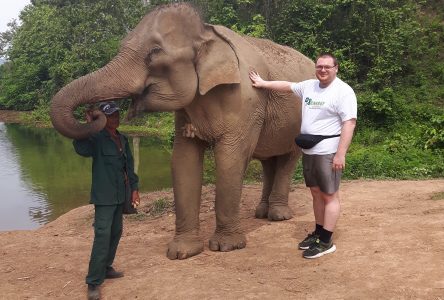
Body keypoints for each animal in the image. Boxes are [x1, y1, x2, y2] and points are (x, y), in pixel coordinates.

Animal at [51, 2, 316, 260]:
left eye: (154, 52)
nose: (96, 112)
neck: (206, 33)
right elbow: (183, 160)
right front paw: (182, 252)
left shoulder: (246, 100)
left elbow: (229, 159)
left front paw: (226, 247)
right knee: (268, 161)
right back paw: (261, 213)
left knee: (287, 159)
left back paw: (278, 215)